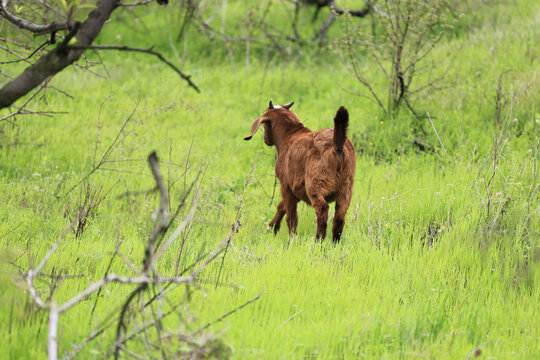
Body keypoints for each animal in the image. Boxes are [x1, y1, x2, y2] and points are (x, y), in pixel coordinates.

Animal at [244, 100, 354, 242]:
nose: (265, 139)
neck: (289, 136)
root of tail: (337, 145)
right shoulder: (296, 190)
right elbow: (282, 206)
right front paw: (272, 227)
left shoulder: (286, 185)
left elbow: (291, 215)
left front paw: (291, 238)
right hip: (346, 188)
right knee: (340, 216)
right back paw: (335, 243)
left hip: (315, 183)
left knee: (322, 209)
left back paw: (318, 240)